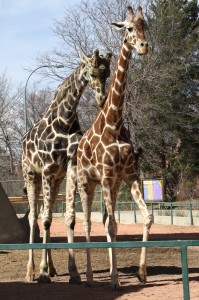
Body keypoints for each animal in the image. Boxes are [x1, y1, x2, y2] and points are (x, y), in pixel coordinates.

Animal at [22, 49, 112, 284]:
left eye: (107, 73)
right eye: (91, 73)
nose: (101, 98)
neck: (64, 119)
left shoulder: (69, 168)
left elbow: (69, 219)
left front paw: (73, 273)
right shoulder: (46, 169)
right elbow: (44, 219)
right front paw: (42, 273)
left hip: (56, 180)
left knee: (45, 214)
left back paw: (52, 268)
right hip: (31, 175)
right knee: (34, 217)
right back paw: (31, 271)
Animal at [76, 5, 152, 290]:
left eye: (145, 26)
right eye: (128, 28)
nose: (143, 46)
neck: (114, 122)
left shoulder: (128, 176)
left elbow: (146, 218)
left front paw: (140, 273)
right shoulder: (107, 177)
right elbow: (110, 228)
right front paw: (116, 281)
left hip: (112, 185)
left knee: (106, 221)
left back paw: (110, 272)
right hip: (85, 183)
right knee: (87, 224)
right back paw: (89, 277)